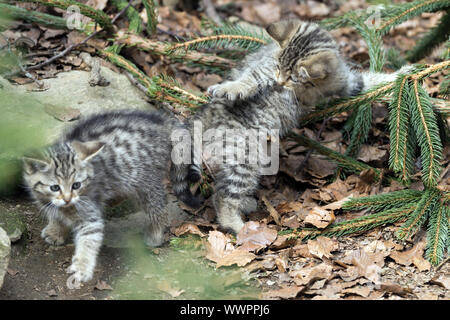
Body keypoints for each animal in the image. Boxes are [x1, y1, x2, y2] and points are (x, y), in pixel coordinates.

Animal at [22, 110, 199, 288]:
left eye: (76, 185)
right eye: (55, 187)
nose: (67, 199)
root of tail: (161, 121)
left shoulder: (89, 210)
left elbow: (89, 238)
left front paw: (82, 267)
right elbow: (55, 214)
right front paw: (56, 230)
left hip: (144, 180)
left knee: (158, 204)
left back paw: (155, 233)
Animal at [186, 20, 412, 235]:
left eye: (293, 77)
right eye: (278, 68)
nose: (279, 83)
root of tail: (205, 113)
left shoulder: (345, 81)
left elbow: (369, 80)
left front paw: (400, 75)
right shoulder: (265, 67)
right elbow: (250, 78)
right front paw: (230, 87)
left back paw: (245, 205)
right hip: (244, 155)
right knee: (223, 196)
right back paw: (237, 226)